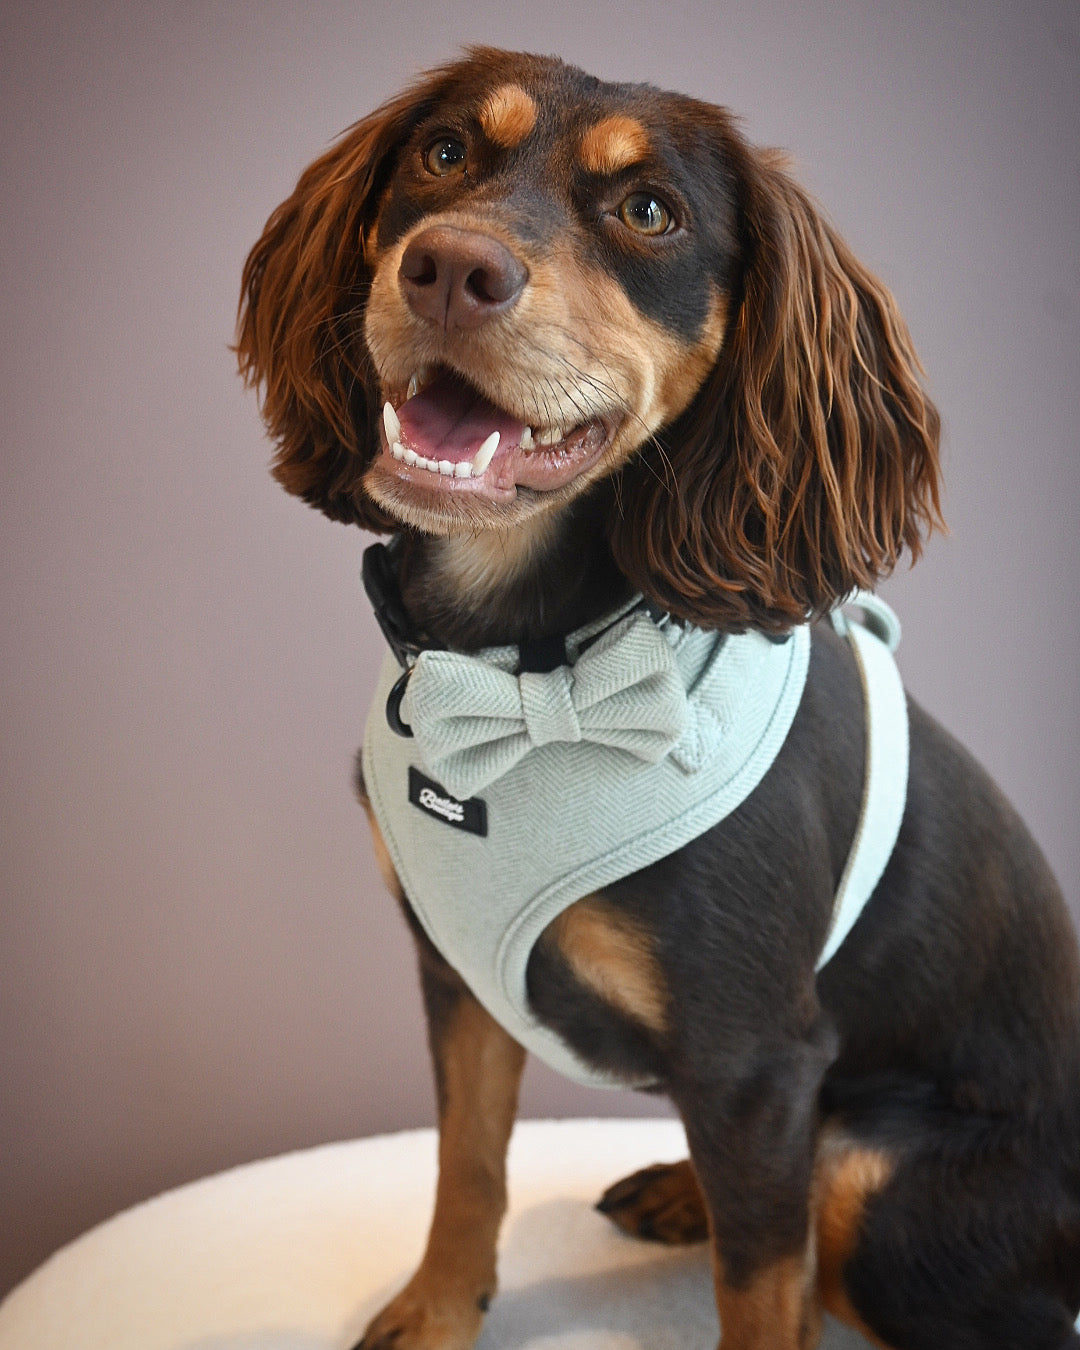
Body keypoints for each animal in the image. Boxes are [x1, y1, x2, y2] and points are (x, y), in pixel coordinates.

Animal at [236, 44, 1080, 1350]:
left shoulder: (753, 1054)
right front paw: (438, 1309)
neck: (532, 675)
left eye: (649, 213)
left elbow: (761, 1288)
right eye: (443, 152)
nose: (450, 269)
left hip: (876, 1177)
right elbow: (466, 1164)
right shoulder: (457, 980)